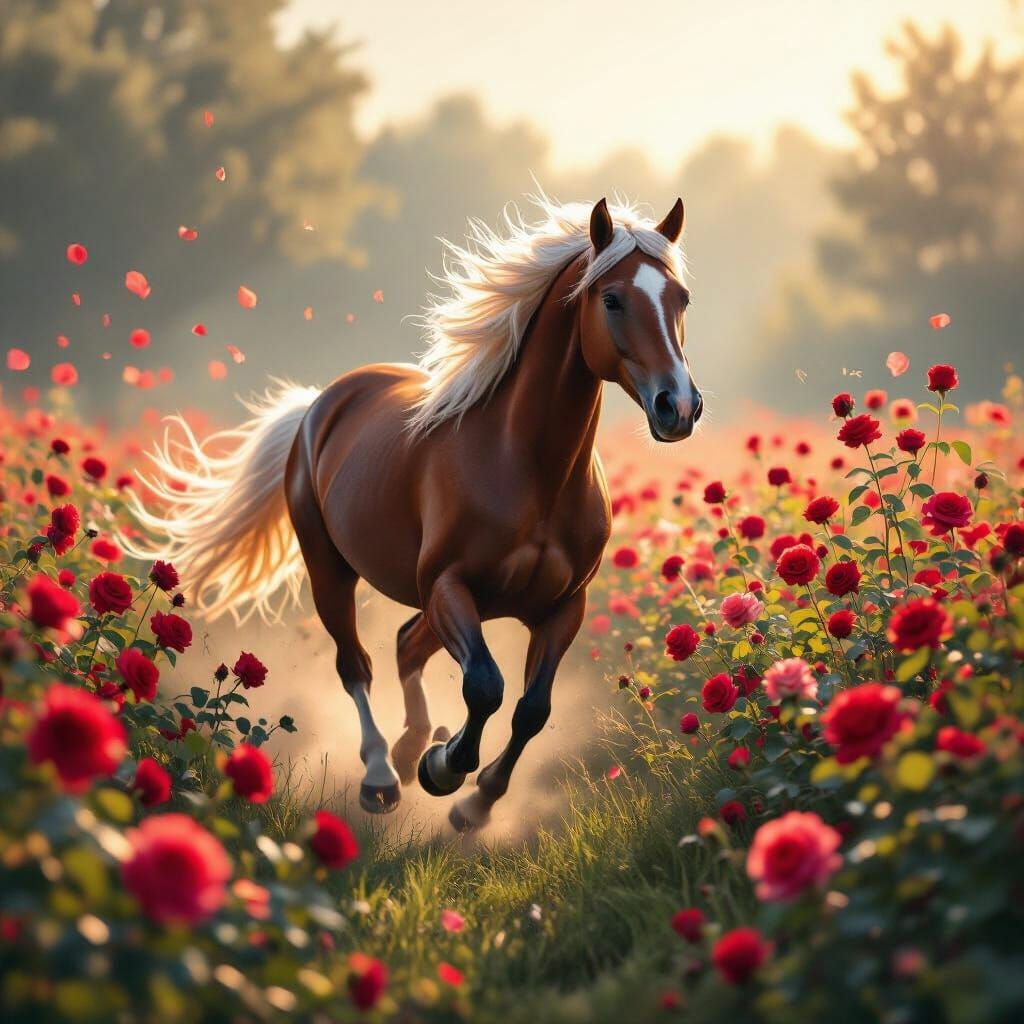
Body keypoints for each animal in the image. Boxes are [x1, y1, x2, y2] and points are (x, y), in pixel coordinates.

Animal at [128, 195, 703, 831]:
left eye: (681, 298)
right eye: (612, 299)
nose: (678, 406)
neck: (529, 469)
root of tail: (319, 405)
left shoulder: (562, 607)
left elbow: (532, 708)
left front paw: (474, 802)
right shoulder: (450, 585)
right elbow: (485, 685)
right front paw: (444, 766)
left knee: (406, 644)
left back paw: (409, 752)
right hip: (331, 570)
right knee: (356, 665)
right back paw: (384, 775)